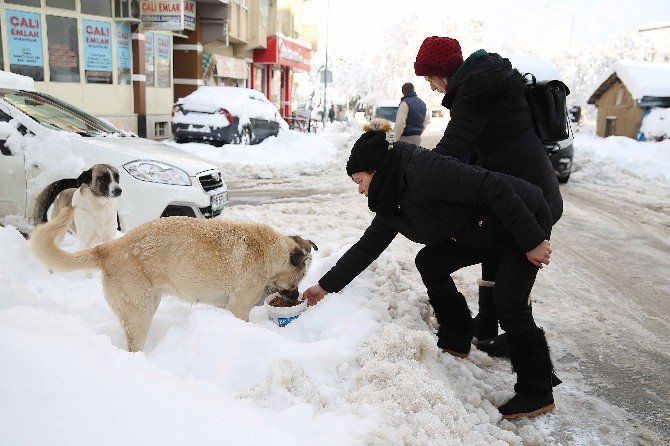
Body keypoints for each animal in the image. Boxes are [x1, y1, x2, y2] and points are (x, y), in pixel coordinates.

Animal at [28, 207, 318, 354]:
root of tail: (108, 248)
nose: (297, 297)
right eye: (301, 276)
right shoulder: (239, 307)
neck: (271, 251)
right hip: (140, 313)